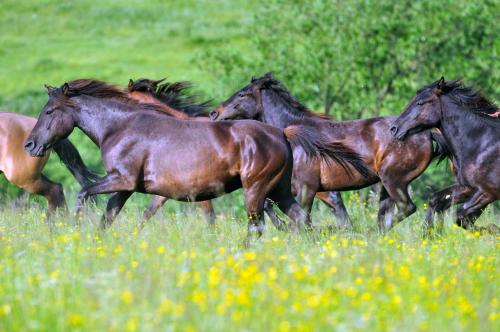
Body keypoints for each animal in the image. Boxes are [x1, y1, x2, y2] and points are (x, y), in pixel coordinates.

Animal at [210, 74, 446, 232]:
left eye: (242, 93)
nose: (214, 113)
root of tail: (428, 133)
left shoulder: (307, 188)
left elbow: (302, 215)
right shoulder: (324, 192)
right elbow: (340, 218)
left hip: (393, 179)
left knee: (406, 208)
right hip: (386, 186)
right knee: (385, 216)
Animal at [390, 77, 500, 231]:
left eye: (420, 102)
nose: (394, 128)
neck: (483, 145)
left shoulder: (488, 192)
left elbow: (460, 216)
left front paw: (492, 229)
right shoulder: (468, 188)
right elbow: (436, 200)